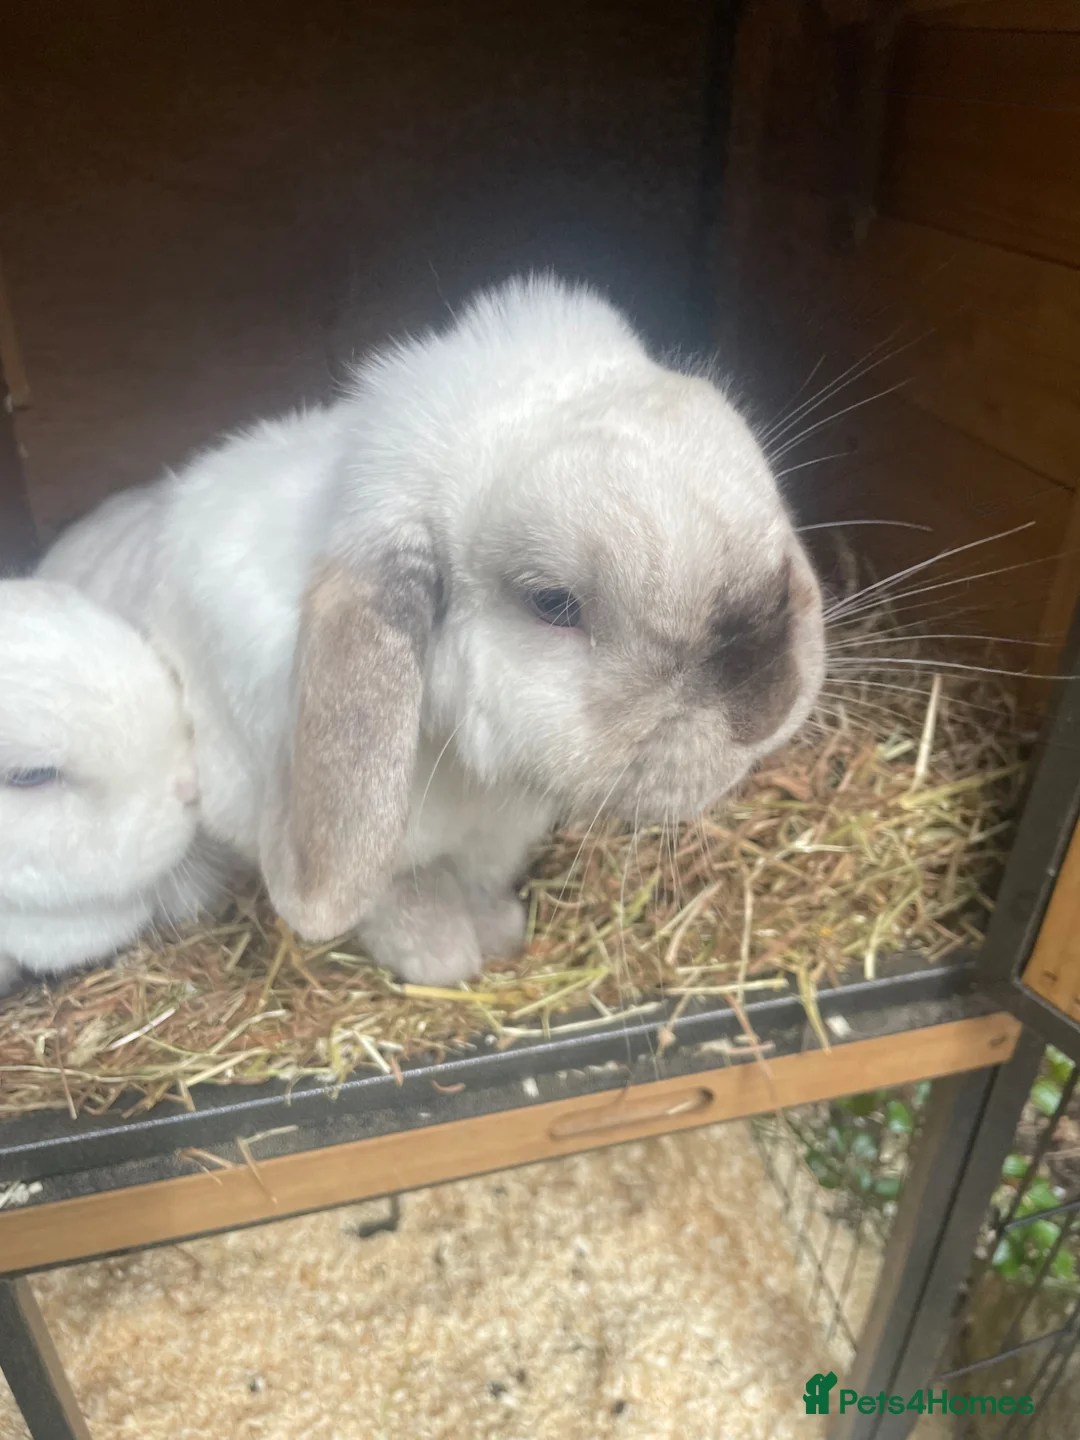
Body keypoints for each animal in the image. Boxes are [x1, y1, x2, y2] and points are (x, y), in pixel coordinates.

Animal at [41, 275, 826, 984]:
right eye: (553, 603)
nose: (770, 701)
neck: (467, 778)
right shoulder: (383, 854)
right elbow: (402, 898)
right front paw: (446, 961)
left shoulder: (496, 836)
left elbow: (479, 880)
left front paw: (501, 932)